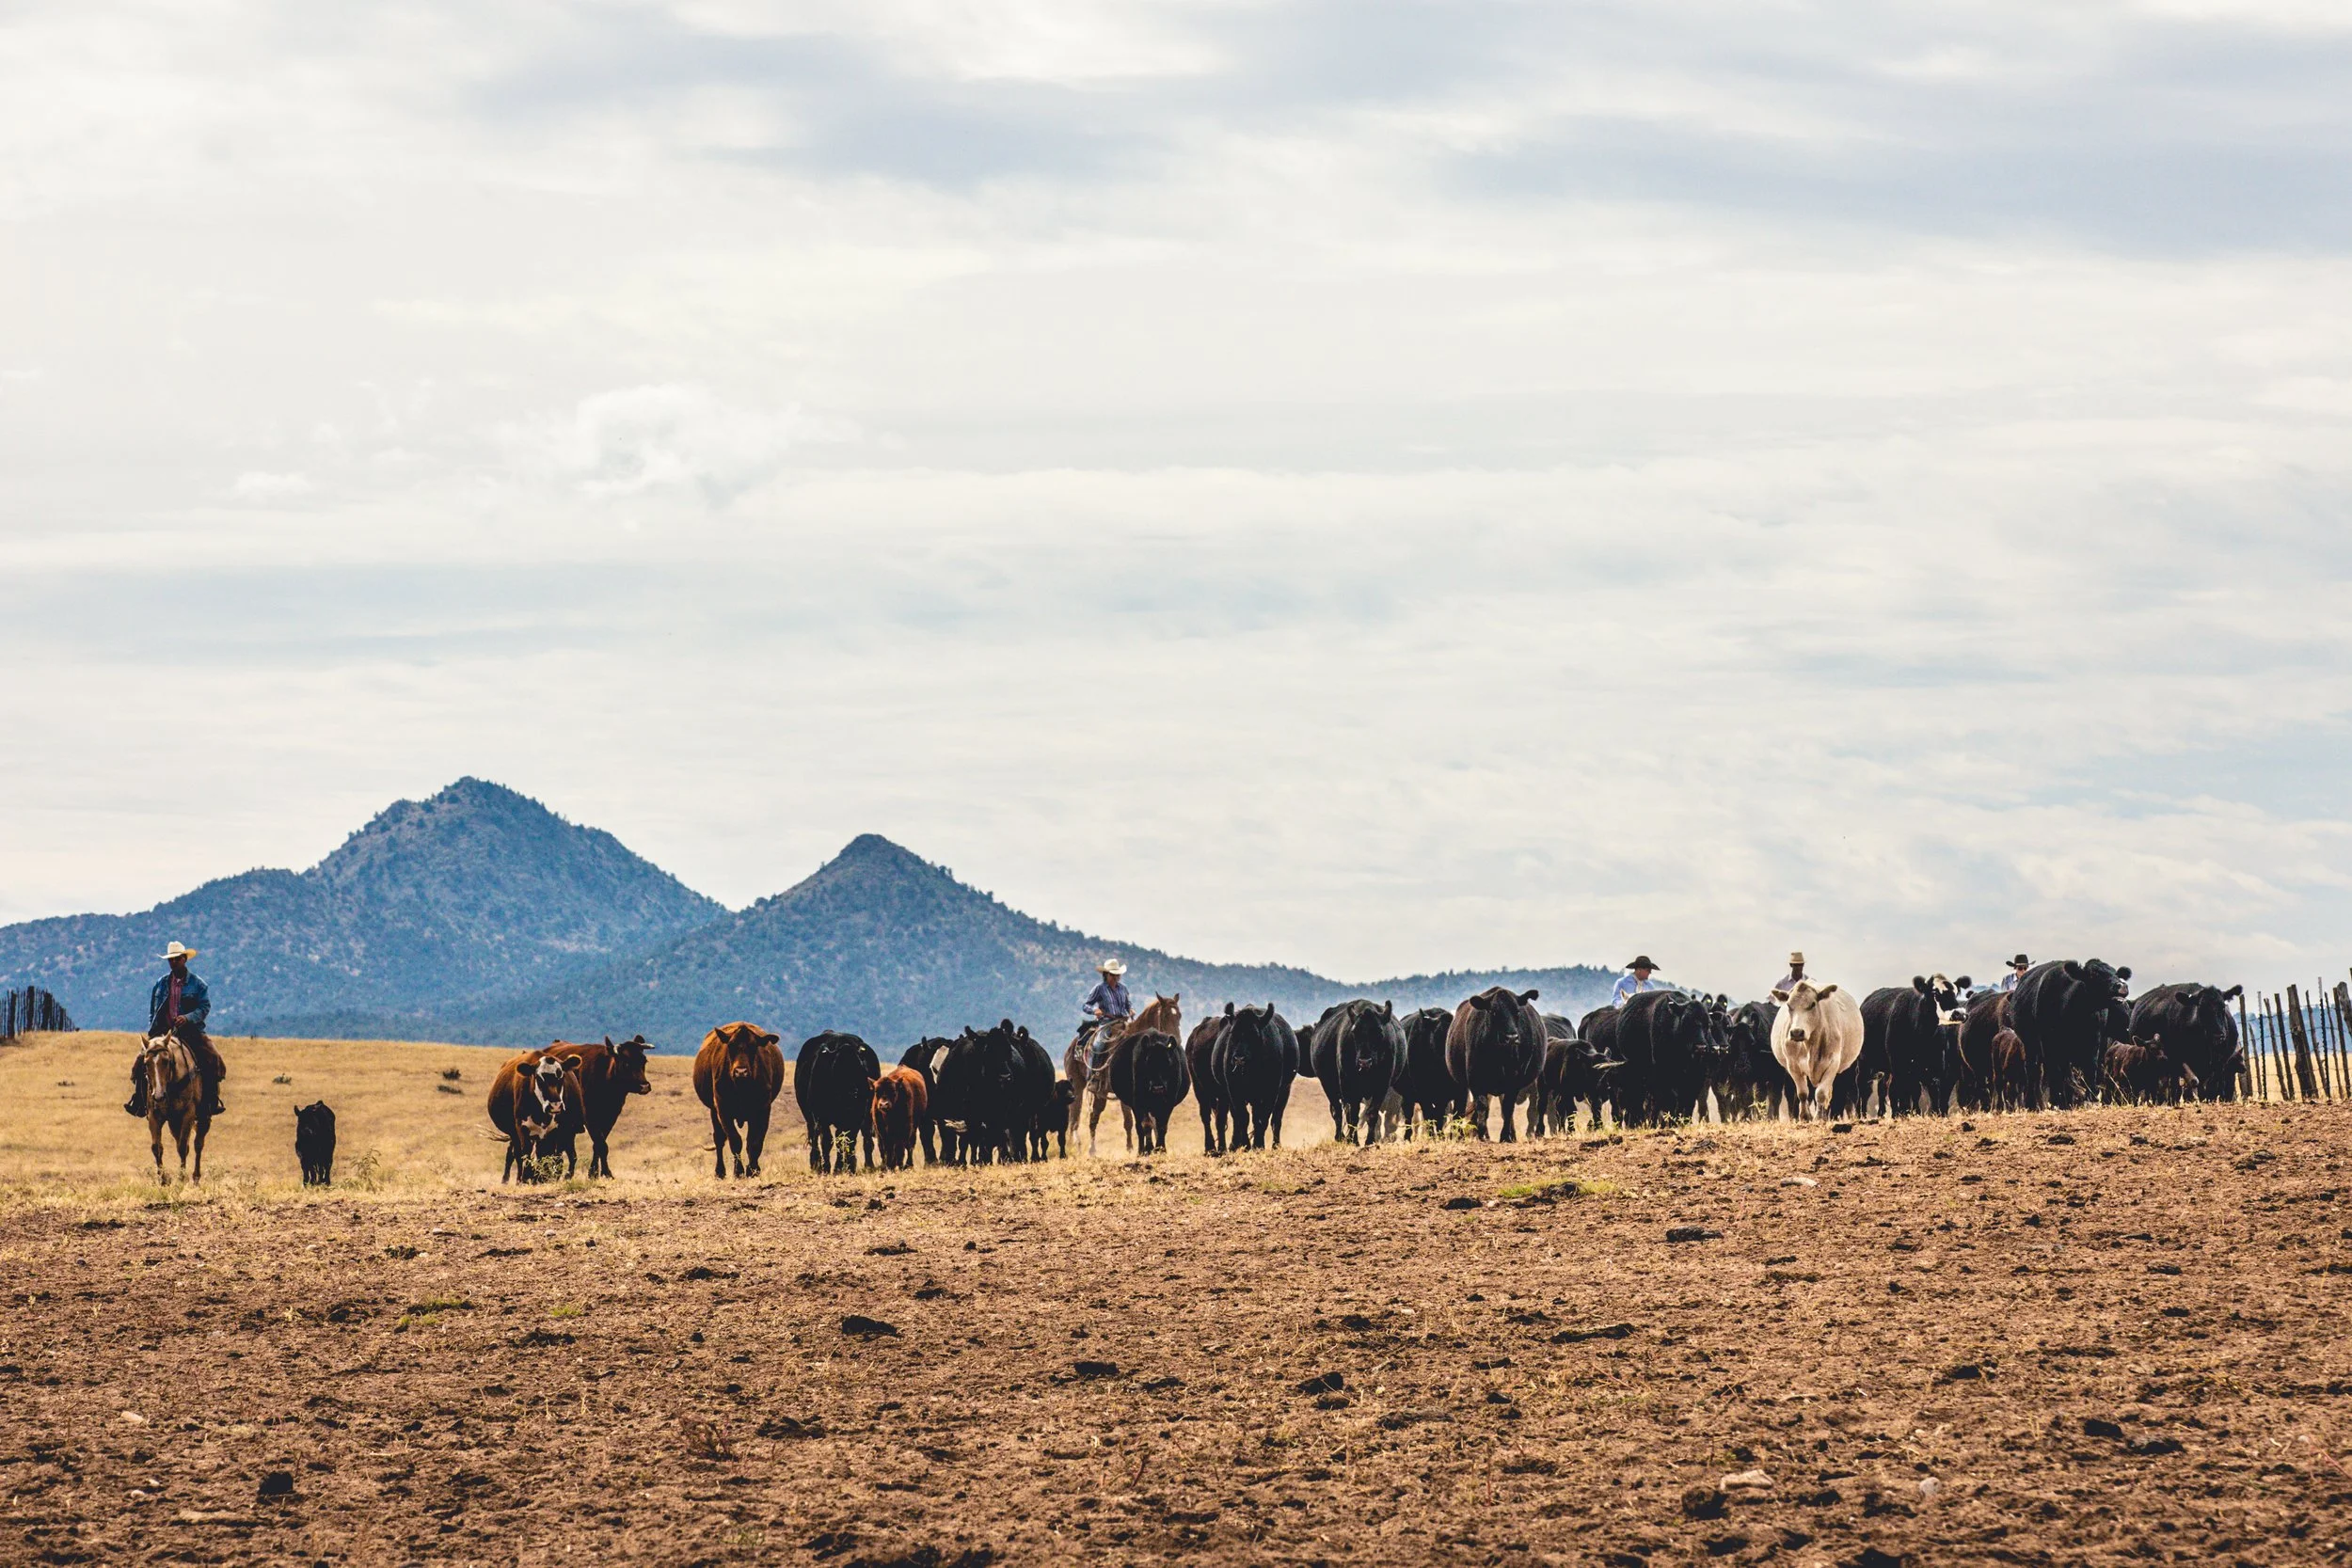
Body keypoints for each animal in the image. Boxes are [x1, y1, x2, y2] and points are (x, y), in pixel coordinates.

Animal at [138, 1033, 210, 1183]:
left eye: (166, 1061)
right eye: (146, 1063)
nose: (159, 1096)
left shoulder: (188, 1114)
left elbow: (183, 1147)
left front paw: (181, 1178)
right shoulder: (154, 1115)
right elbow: (156, 1147)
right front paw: (164, 1180)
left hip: (202, 1118)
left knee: (198, 1144)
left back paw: (196, 1177)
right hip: (174, 1123)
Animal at [1071, 993, 1182, 1156]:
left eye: (1179, 1015)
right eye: (1166, 1015)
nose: (1176, 1041)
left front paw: (1155, 1148)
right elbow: (1133, 1120)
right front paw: (1137, 1149)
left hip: (1100, 1093)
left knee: (1094, 1116)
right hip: (1077, 1086)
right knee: (1076, 1117)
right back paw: (1081, 1147)